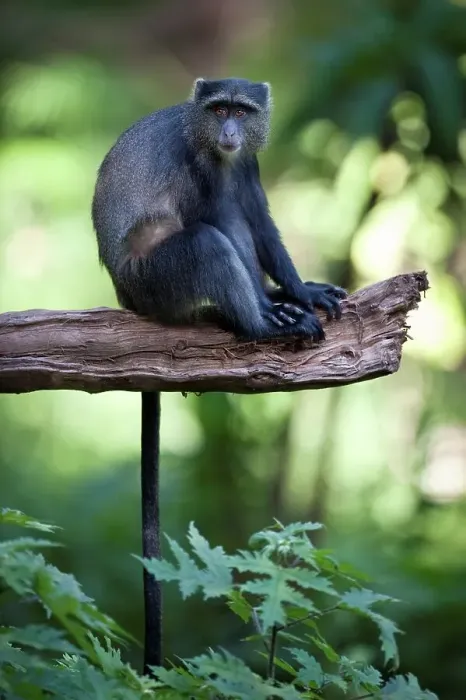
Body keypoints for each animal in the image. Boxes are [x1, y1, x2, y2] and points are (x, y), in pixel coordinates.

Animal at [91, 77, 346, 675]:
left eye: (243, 112)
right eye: (219, 109)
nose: (229, 131)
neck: (215, 146)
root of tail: (125, 295)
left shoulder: (246, 164)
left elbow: (259, 221)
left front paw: (299, 290)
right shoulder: (200, 167)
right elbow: (225, 220)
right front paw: (275, 310)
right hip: (158, 280)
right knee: (208, 240)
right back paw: (258, 322)